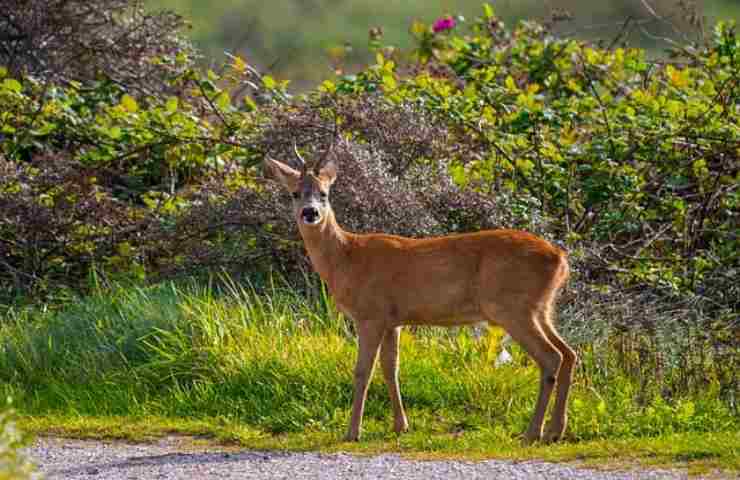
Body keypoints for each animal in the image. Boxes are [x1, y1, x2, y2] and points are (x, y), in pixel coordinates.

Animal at [266, 148, 580, 444]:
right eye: (295, 193)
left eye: (324, 193)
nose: (310, 213)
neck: (346, 259)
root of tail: (560, 258)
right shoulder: (392, 320)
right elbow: (390, 369)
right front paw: (400, 426)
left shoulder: (370, 314)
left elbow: (362, 371)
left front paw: (352, 432)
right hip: (541, 307)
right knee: (569, 353)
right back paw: (556, 431)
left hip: (512, 307)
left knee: (551, 357)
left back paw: (533, 433)